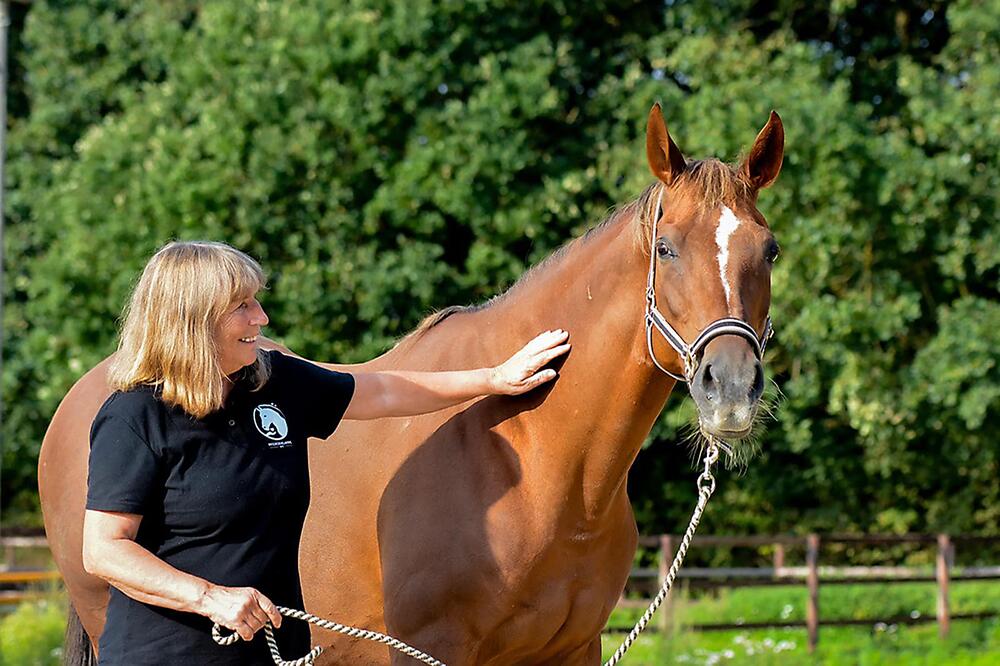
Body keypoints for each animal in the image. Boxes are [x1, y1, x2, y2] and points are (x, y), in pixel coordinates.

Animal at [41, 106, 780, 660]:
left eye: (769, 251)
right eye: (667, 248)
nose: (731, 388)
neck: (532, 456)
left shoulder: (572, 649)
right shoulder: (430, 648)